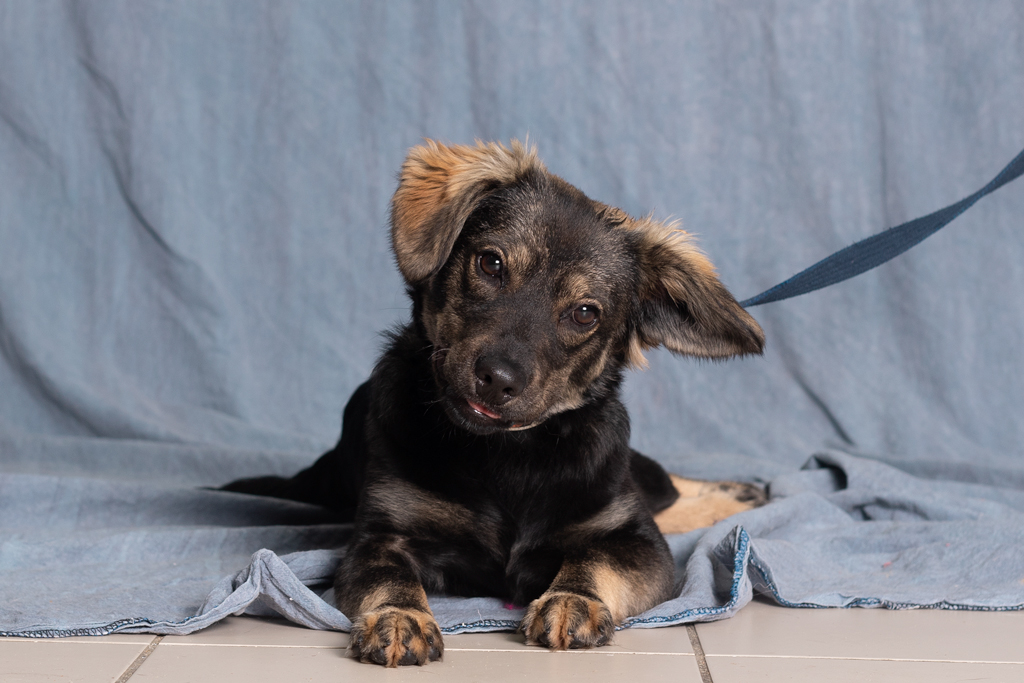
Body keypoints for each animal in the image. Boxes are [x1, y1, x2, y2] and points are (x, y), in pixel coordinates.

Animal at [223, 140, 766, 667]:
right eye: (491, 263)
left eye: (585, 313)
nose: (497, 380)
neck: (507, 454)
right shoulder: (379, 537)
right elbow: (390, 578)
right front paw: (399, 617)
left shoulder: (636, 539)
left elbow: (594, 560)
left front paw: (572, 599)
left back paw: (740, 493)